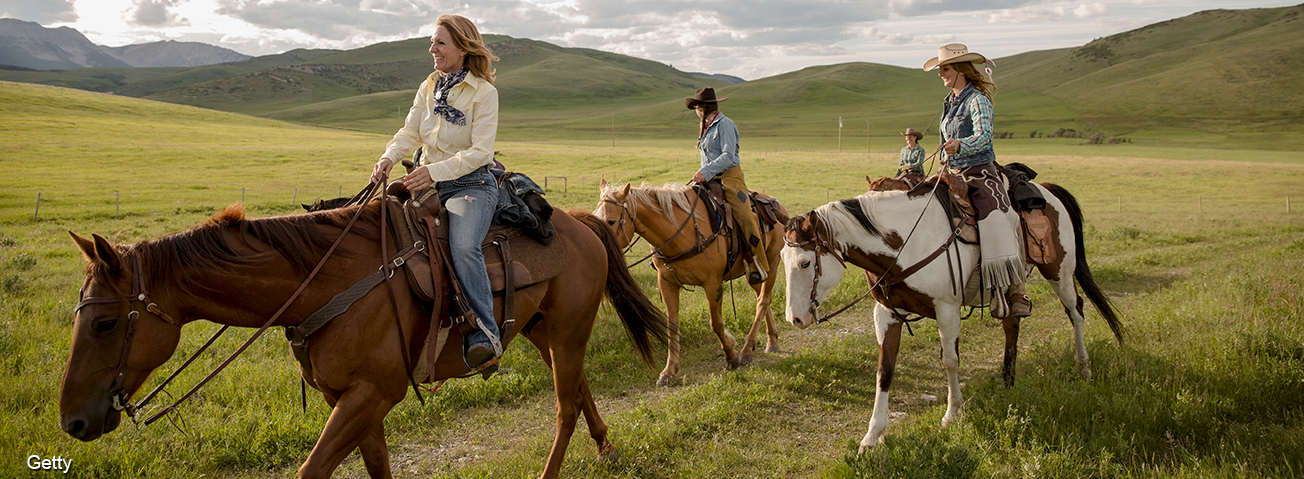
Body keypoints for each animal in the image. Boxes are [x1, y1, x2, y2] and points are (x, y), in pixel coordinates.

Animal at [58, 200, 672, 477]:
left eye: (105, 323)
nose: (74, 422)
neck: (322, 284)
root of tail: (578, 220)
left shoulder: (370, 395)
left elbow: (312, 469)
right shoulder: (356, 401)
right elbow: (376, 466)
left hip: (566, 332)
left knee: (564, 406)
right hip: (545, 334)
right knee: (578, 389)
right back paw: (607, 446)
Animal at [597, 180, 787, 386]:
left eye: (611, 221)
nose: (601, 251)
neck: (682, 232)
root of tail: (775, 204)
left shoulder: (712, 283)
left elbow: (716, 323)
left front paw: (731, 354)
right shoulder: (666, 283)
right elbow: (672, 325)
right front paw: (669, 371)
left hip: (772, 262)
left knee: (763, 300)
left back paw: (747, 350)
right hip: (752, 272)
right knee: (762, 297)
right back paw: (771, 341)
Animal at [777, 182, 1126, 454]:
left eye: (806, 263)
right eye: (782, 257)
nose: (795, 319)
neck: (907, 243)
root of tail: (1048, 190)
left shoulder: (947, 309)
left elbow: (950, 361)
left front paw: (952, 414)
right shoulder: (887, 313)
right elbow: (884, 371)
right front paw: (872, 437)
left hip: (1060, 272)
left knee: (1076, 311)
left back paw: (1084, 368)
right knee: (1012, 323)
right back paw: (1007, 381)